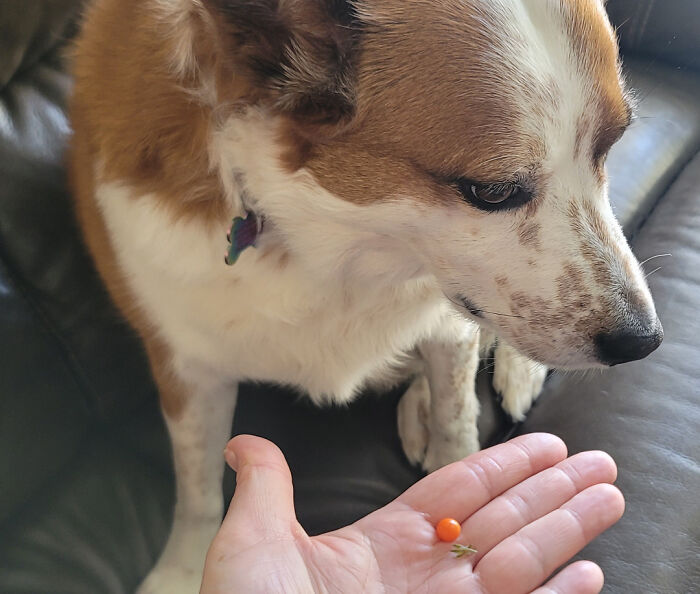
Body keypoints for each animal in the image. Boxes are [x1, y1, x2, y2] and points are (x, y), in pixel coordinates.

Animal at [69, 0, 660, 588]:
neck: (337, 248)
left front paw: (455, 458)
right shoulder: (185, 365)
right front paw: (185, 568)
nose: (645, 341)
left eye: (609, 149)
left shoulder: (449, 322)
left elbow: (456, 413)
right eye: (492, 191)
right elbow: (196, 487)